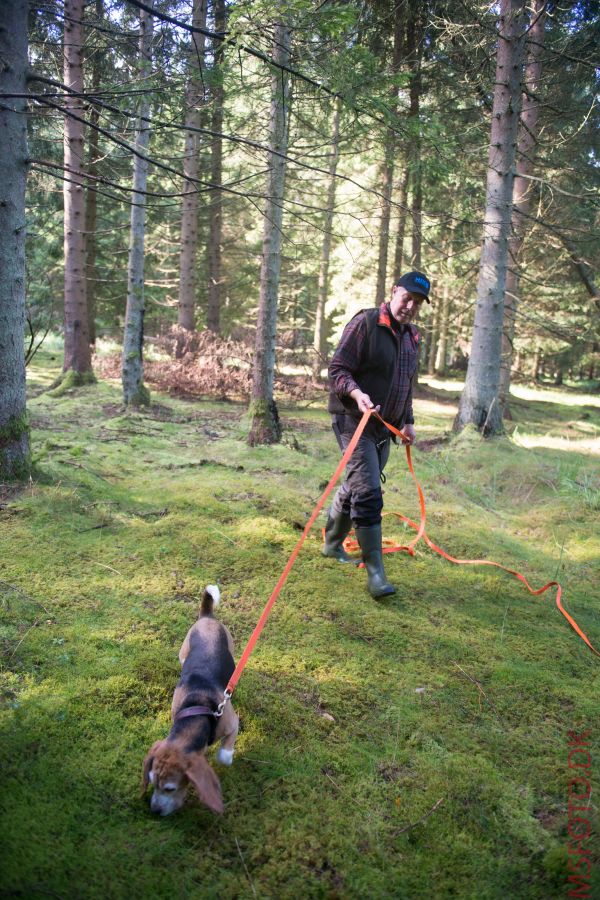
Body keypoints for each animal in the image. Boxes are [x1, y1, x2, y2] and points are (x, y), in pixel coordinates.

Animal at [142, 584, 239, 816]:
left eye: (170, 788)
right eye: (152, 782)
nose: (154, 810)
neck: (195, 708)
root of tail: (207, 617)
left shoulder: (232, 723)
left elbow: (224, 755)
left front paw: (226, 756)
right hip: (183, 653)